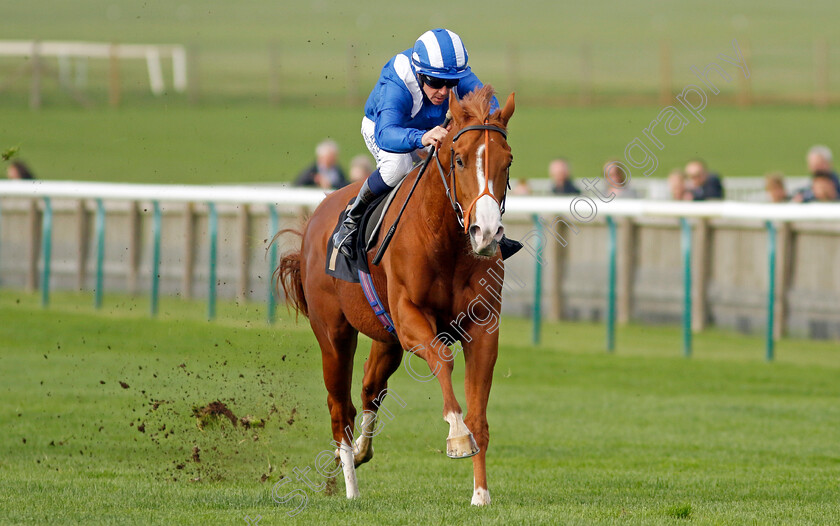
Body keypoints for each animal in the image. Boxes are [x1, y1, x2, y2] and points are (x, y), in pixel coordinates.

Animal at [278, 86, 512, 508]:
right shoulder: (409, 316)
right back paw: (351, 486)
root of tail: (317, 217)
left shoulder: (483, 325)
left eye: (508, 161)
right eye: (459, 158)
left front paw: (481, 494)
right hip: (335, 334)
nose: (486, 232)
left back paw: (358, 452)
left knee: (371, 390)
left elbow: (479, 415)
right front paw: (456, 437)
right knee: (340, 407)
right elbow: (442, 358)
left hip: (385, 337)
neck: (446, 241)